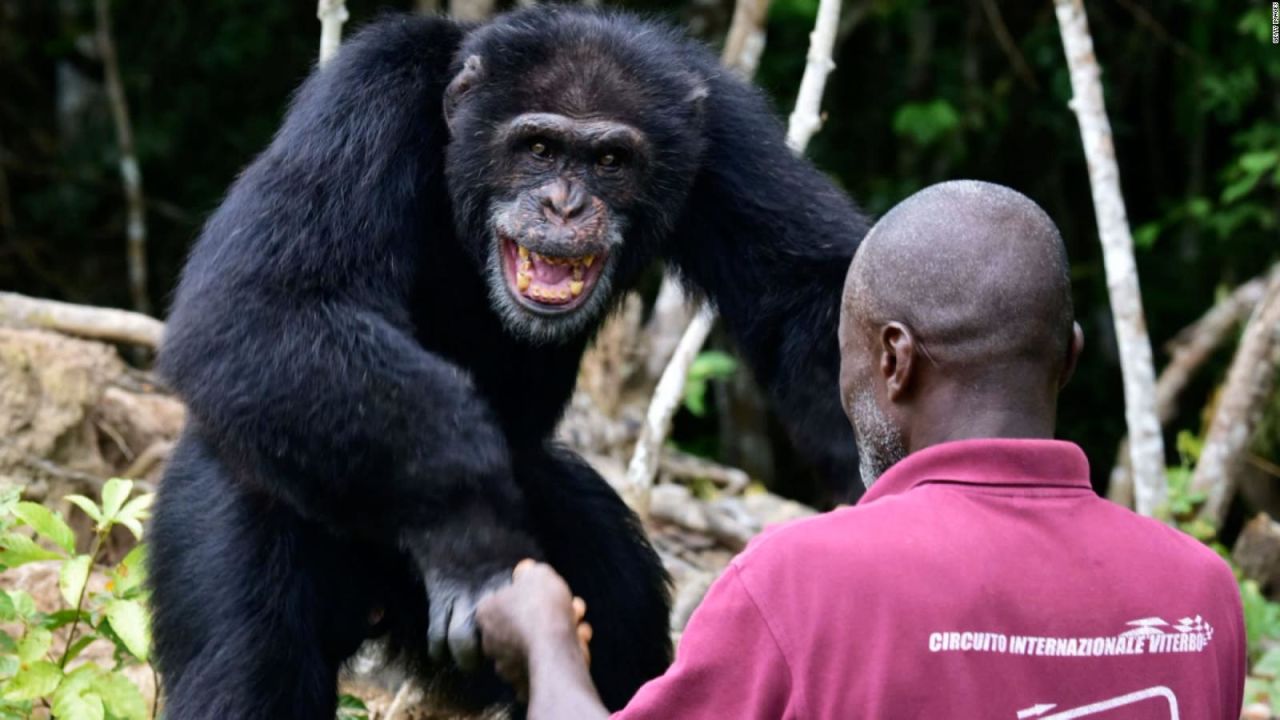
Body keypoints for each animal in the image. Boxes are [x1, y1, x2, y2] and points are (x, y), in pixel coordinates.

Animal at [149, 7, 870, 717]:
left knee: (622, 611)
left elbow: (813, 294)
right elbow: (267, 304)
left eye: (611, 159)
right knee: (252, 660)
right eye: (539, 149)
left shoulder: (725, 134)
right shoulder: (367, 96)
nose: (564, 204)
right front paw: (473, 534)